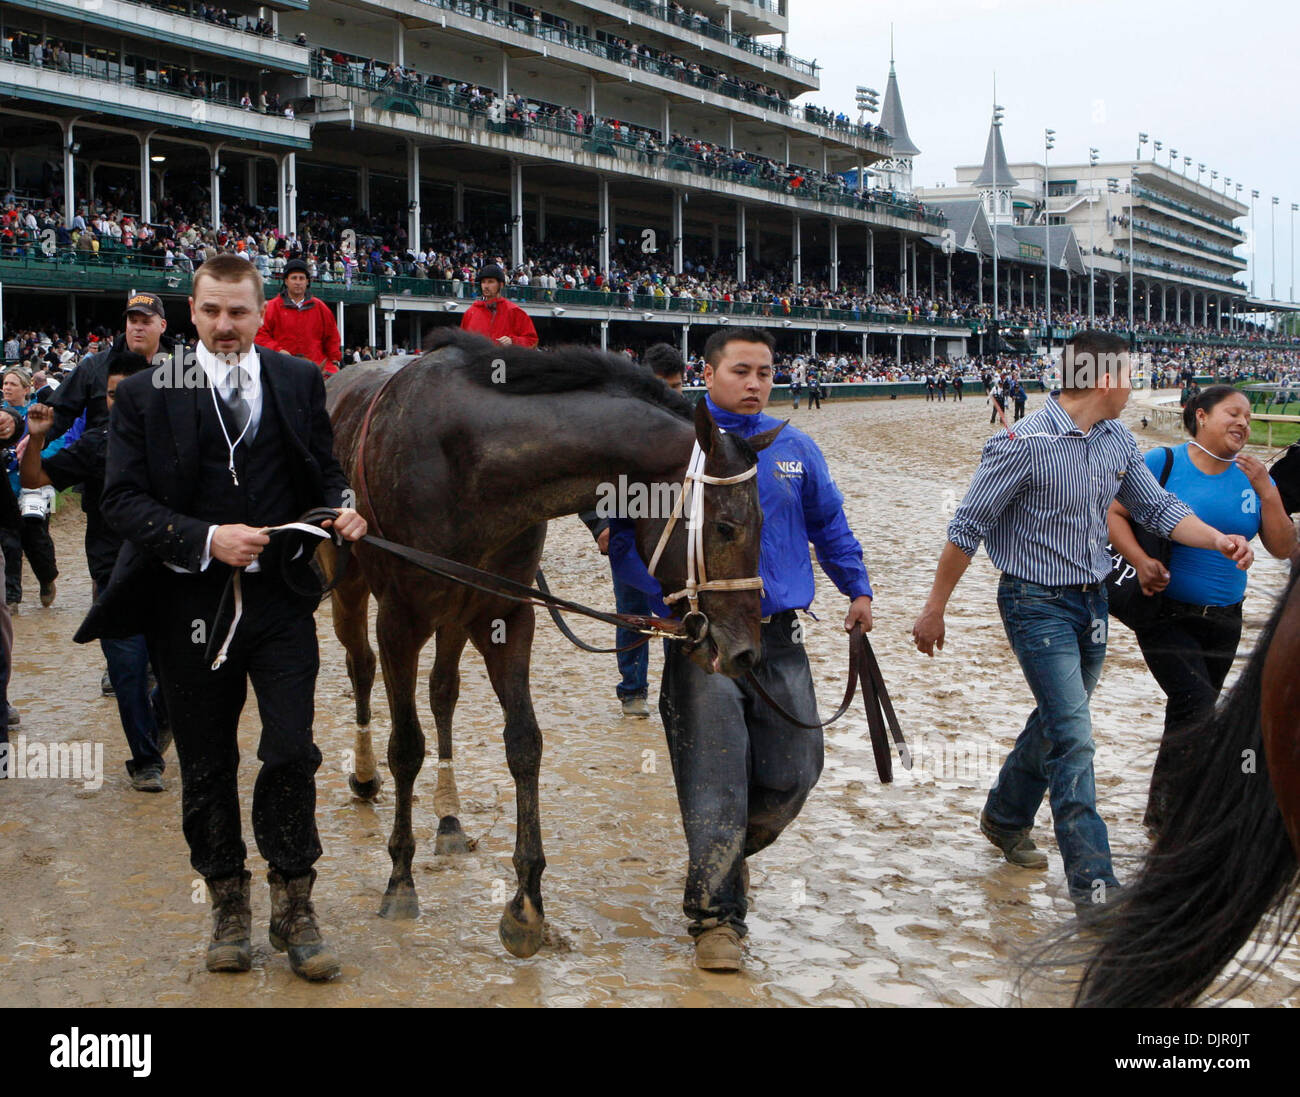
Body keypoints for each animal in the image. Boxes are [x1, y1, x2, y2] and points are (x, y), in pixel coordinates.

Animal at [321, 328, 781, 958]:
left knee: (443, 693)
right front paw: (400, 880)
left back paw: (448, 818)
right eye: (726, 527)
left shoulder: (506, 616)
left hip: (456, 616)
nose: (744, 652)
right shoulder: (401, 620)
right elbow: (406, 747)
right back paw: (366, 776)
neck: (463, 458)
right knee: (362, 669)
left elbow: (524, 743)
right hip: (353, 589)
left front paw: (526, 904)